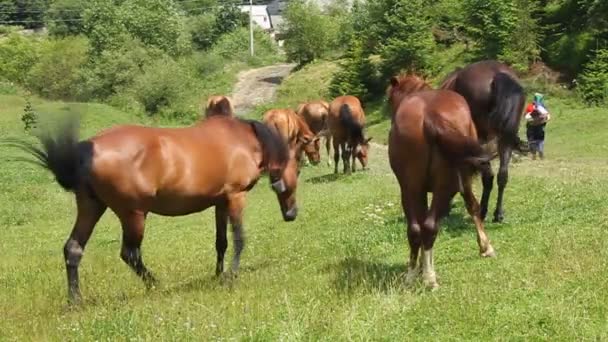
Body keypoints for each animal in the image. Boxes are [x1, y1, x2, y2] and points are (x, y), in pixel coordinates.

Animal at [388, 74, 496, 288]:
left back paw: (412, 275)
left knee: (415, 229)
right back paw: (430, 278)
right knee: (430, 227)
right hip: (445, 186)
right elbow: (473, 206)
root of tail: (430, 115)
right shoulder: (464, 180)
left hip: (410, 188)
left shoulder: (419, 190)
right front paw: (485, 247)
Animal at [436, 60, 528, 223]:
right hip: (504, 139)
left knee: (488, 176)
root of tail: (497, 73)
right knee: (502, 175)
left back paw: (482, 211)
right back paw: (497, 214)